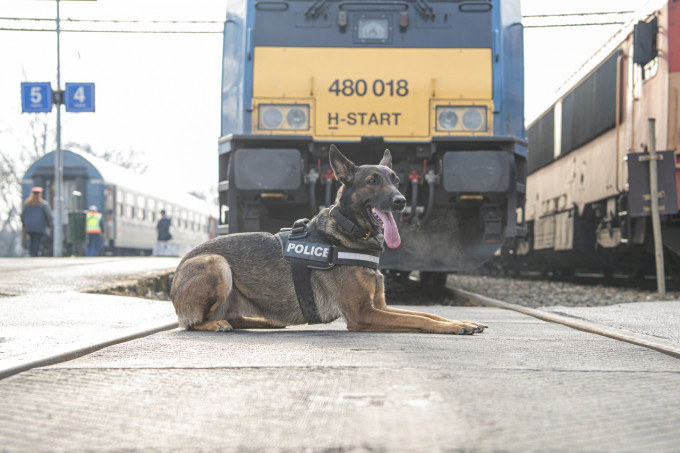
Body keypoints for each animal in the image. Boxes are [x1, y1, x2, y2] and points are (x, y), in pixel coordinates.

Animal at [173, 146, 486, 336]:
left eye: (396, 180)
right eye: (372, 181)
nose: (401, 201)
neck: (349, 233)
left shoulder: (381, 307)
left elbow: (428, 315)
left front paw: (461, 322)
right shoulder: (362, 314)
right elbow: (418, 319)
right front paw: (455, 327)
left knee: (236, 317)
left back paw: (263, 321)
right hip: (215, 262)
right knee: (193, 323)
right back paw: (216, 324)